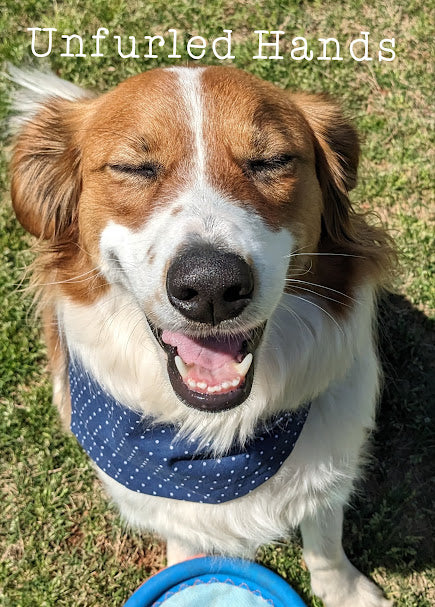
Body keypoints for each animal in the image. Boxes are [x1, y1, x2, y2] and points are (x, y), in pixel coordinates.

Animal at [7, 64, 396, 604]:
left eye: (271, 161)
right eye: (134, 168)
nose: (211, 287)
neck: (216, 439)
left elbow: (323, 534)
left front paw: (344, 589)